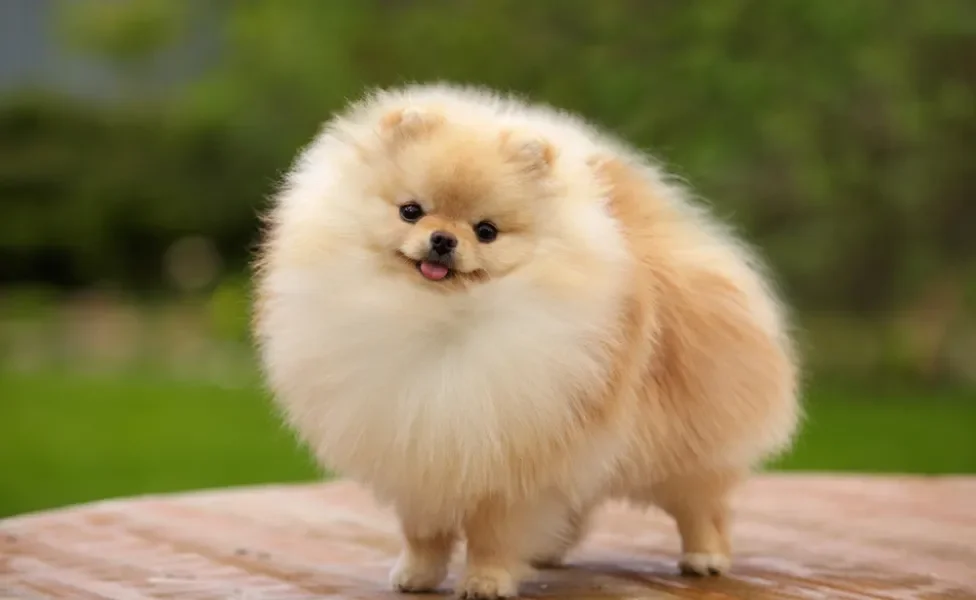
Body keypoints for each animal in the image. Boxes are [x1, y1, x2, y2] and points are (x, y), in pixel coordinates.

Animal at [254, 83, 800, 600]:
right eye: (411, 211)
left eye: (486, 231)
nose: (443, 240)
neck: (439, 321)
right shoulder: (418, 453)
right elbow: (424, 532)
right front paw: (417, 576)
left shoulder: (512, 460)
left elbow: (492, 536)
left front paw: (487, 581)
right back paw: (548, 552)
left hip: (683, 446)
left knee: (701, 504)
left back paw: (704, 558)